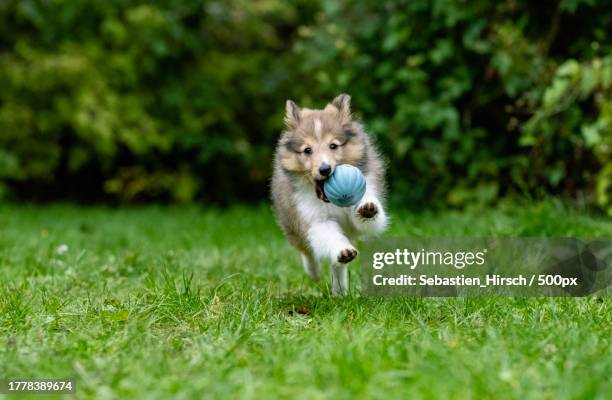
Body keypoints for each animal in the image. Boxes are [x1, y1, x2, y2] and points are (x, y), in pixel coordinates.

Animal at [272, 94, 388, 294]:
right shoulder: (315, 219)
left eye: (333, 145)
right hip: (292, 225)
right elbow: (329, 236)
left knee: (337, 266)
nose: (325, 169)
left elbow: (370, 217)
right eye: (307, 150)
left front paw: (367, 207)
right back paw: (314, 273)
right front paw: (343, 251)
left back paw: (340, 291)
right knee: (307, 251)